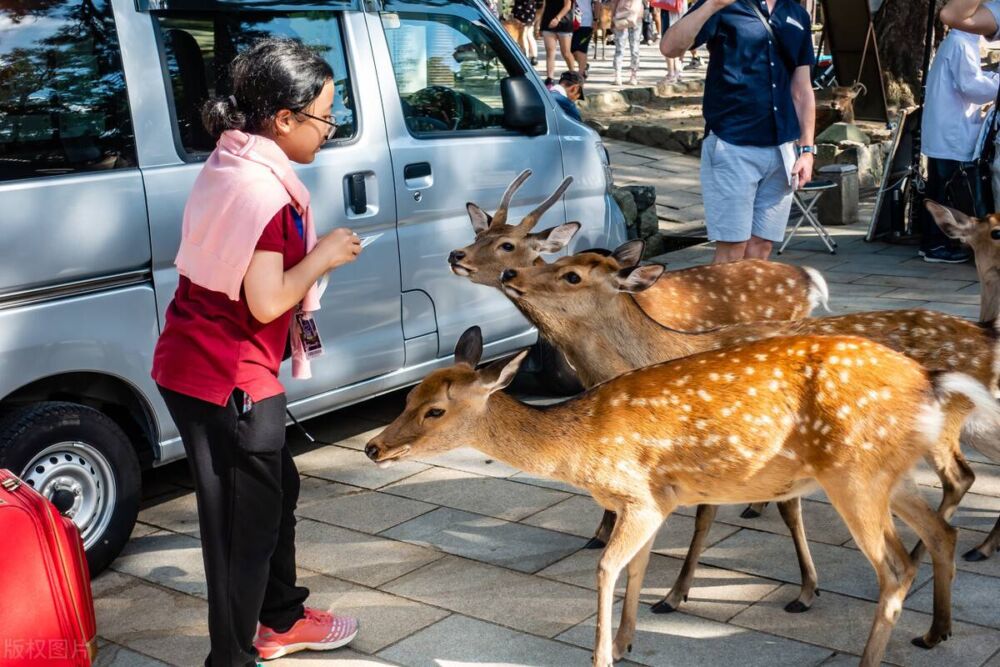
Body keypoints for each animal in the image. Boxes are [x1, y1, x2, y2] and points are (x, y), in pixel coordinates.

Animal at [366, 328, 992, 667]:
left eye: (434, 411)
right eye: (408, 398)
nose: (373, 447)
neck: (581, 449)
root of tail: (930, 383)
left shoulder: (640, 497)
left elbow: (605, 568)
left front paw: (601, 654)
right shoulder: (654, 501)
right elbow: (638, 568)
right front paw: (628, 640)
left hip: (855, 474)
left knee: (896, 566)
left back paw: (872, 654)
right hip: (891, 473)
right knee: (942, 530)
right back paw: (936, 631)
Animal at [500, 244, 1000, 612]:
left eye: (571, 275)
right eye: (557, 257)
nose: (509, 274)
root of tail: (985, 341)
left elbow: (727, 513)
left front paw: (678, 595)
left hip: (942, 426)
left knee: (960, 477)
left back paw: (927, 557)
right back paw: (973, 550)